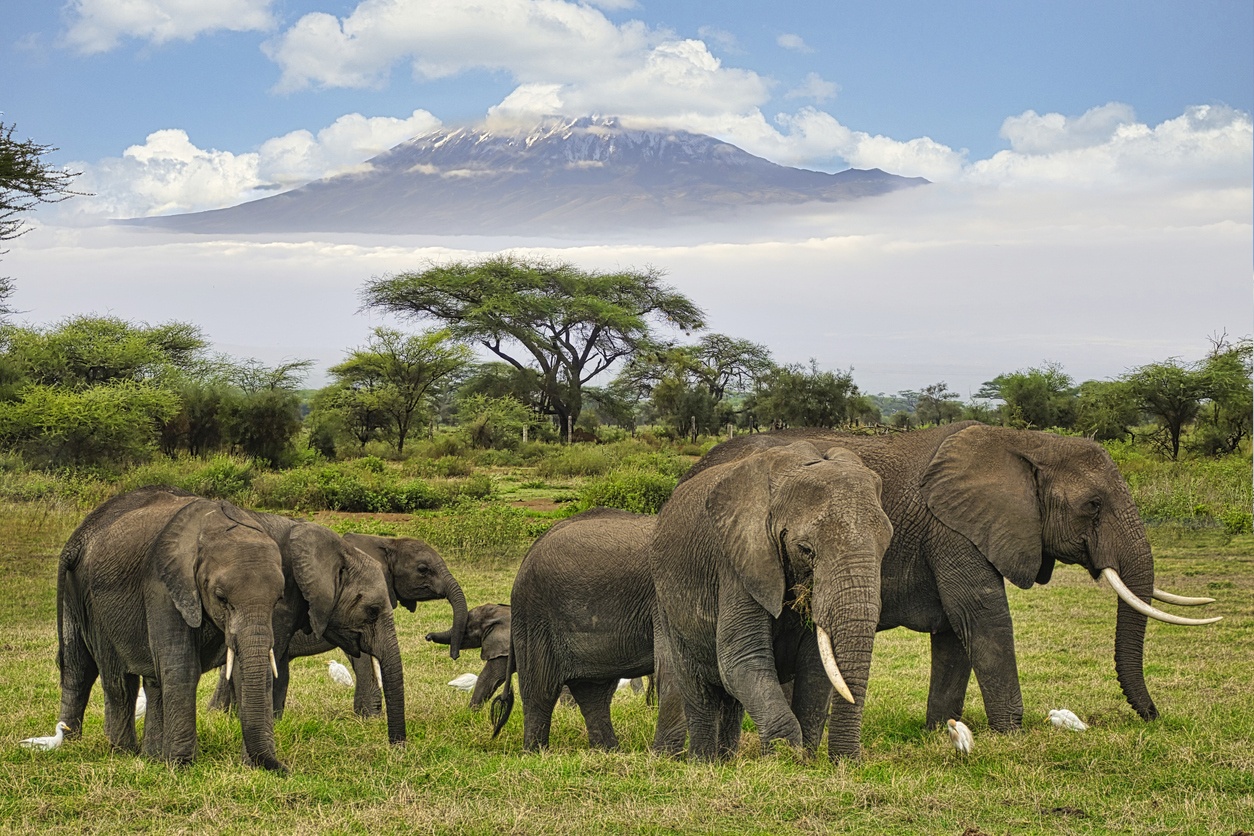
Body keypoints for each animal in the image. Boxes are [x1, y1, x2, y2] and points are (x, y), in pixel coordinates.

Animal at [58, 491, 295, 772]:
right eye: (221, 598)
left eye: (278, 598)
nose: (284, 768)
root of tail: (79, 535)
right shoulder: (163, 584)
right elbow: (182, 666)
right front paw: (181, 765)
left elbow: (241, 669)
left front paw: (250, 765)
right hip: (88, 599)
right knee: (95, 673)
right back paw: (107, 748)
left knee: (150, 680)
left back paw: (150, 756)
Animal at [652, 441, 897, 762]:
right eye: (805, 549)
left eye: (886, 545)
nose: (848, 763)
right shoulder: (737, 561)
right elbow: (742, 660)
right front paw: (784, 757)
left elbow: (815, 669)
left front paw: (805, 759)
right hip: (666, 603)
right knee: (698, 689)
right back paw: (704, 761)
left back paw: (726, 760)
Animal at [687, 426, 1223, 731]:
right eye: (1093, 506)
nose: (1153, 718)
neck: (1028, 443)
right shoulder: (953, 529)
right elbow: (982, 616)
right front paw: (1012, 732)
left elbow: (954, 632)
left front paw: (939, 730)